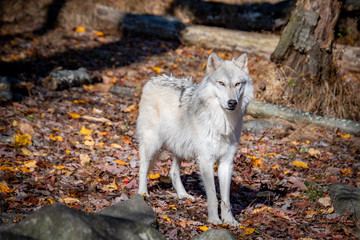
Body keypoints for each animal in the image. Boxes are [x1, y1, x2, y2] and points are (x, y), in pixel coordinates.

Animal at [137, 52, 253, 225]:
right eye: (221, 83)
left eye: (237, 84)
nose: (232, 102)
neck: (222, 121)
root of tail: (152, 79)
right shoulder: (206, 160)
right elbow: (212, 195)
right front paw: (214, 220)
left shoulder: (227, 162)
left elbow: (226, 198)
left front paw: (230, 221)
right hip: (153, 143)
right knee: (143, 167)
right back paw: (143, 193)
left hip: (179, 147)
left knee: (173, 172)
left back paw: (183, 195)